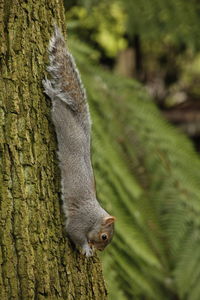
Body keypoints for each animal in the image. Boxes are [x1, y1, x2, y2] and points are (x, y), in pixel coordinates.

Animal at [42, 25, 115, 256]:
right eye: (104, 237)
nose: (99, 250)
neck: (94, 217)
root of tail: (81, 127)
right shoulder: (79, 221)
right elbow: (73, 232)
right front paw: (86, 249)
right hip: (63, 120)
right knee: (58, 104)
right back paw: (51, 91)